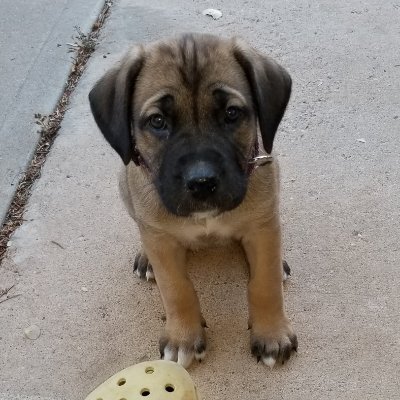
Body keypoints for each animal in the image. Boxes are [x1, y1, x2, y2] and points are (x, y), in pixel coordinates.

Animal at [90, 32, 296, 368]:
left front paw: (272, 333)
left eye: (231, 114)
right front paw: (183, 337)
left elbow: (265, 284)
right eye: (158, 121)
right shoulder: (162, 241)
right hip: (125, 184)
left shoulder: (262, 225)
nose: (202, 183)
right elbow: (177, 289)